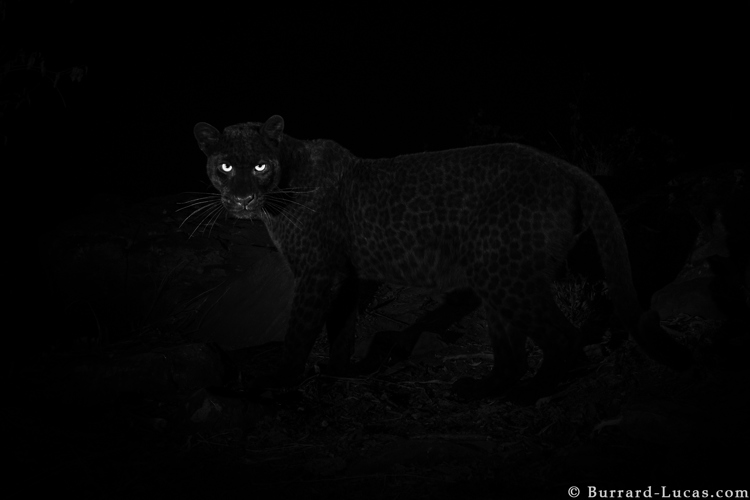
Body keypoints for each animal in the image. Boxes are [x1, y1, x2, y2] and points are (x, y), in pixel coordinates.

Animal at [193, 115, 693, 400]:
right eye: (225, 166)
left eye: (259, 165)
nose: (240, 198)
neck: (284, 183)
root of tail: (568, 168)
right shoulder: (348, 277)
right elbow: (342, 329)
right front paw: (340, 374)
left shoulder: (317, 273)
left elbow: (300, 330)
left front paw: (280, 381)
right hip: (498, 276)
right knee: (512, 352)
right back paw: (482, 390)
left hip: (506, 276)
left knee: (563, 338)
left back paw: (530, 393)